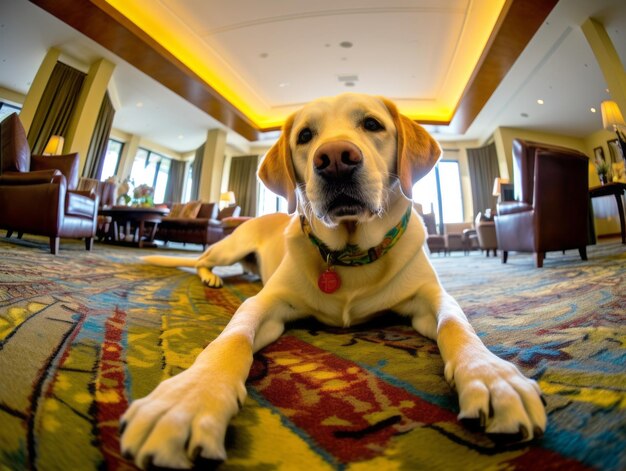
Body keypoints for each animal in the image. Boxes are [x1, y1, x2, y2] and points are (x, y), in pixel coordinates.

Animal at [119, 94, 544, 470]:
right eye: (305, 135)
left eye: (372, 124)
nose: (336, 159)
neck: (350, 253)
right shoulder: (265, 304)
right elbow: (233, 339)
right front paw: (190, 397)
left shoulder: (432, 298)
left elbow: (457, 325)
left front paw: (491, 375)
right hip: (229, 247)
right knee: (203, 261)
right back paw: (210, 279)